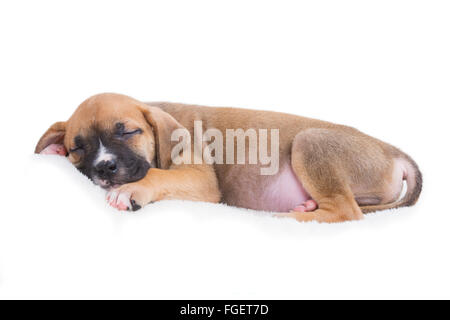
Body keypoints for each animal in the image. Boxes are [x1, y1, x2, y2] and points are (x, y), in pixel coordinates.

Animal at [35, 92, 422, 222]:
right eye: (77, 147)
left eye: (128, 132)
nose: (105, 168)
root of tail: (393, 150)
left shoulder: (202, 180)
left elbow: (158, 175)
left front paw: (129, 190)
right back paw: (307, 207)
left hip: (310, 141)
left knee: (346, 210)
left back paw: (291, 218)